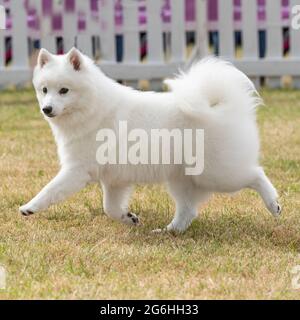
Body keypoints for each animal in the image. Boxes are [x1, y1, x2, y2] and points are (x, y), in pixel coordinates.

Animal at [19, 47, 282, 231]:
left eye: (64, 90)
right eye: (44, 90)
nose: (47, 109)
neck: (94, 108)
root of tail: (224, 106)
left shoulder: (77, 170)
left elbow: (51, 189)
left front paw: (30, 207)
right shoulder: (115, 180)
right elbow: (110, 208)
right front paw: (129, 218)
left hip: (218, 174)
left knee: (256, 174)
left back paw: (273, 204)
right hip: (183, 180)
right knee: (187, 211)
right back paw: (168, 231)